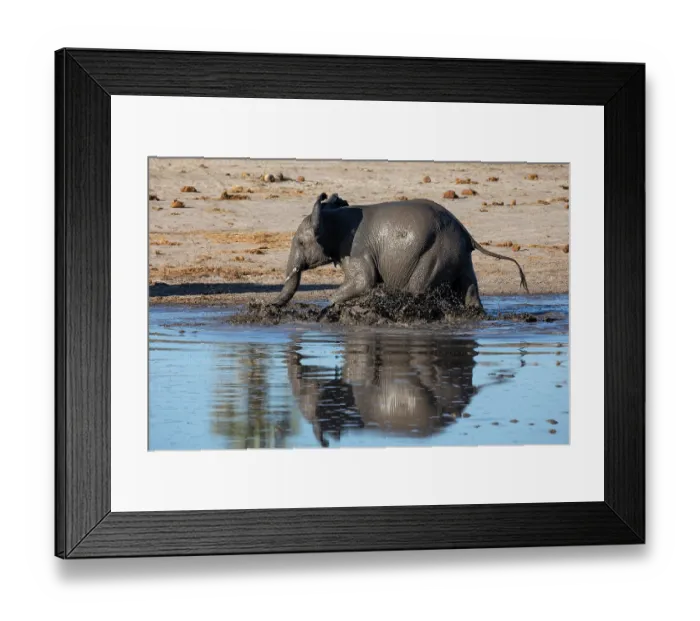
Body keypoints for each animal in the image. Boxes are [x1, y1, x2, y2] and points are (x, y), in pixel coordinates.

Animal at [273, 192, 528, 308]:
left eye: (300, 243)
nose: (269, 305)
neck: (332, 215)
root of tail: (467, 234)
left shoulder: (356, 249)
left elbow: (364, 281)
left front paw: (330, 306)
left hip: (435, 253)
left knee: (418, 290)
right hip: (458, 256)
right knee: (470, 290)